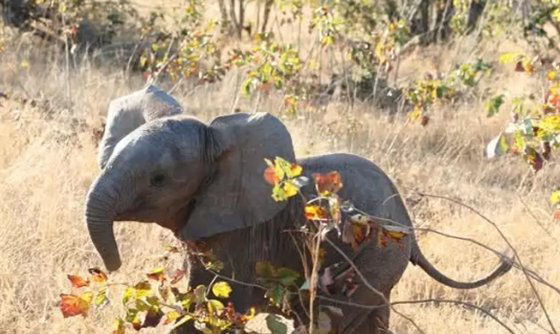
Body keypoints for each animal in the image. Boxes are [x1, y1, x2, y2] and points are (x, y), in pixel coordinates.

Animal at [84, 111, 512, 332]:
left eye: (158, 180)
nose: (112, 267)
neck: (216, 139)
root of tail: (409, 221)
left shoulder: (242, 234)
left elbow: (219, 306)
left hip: (374, 258)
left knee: (329, 321)